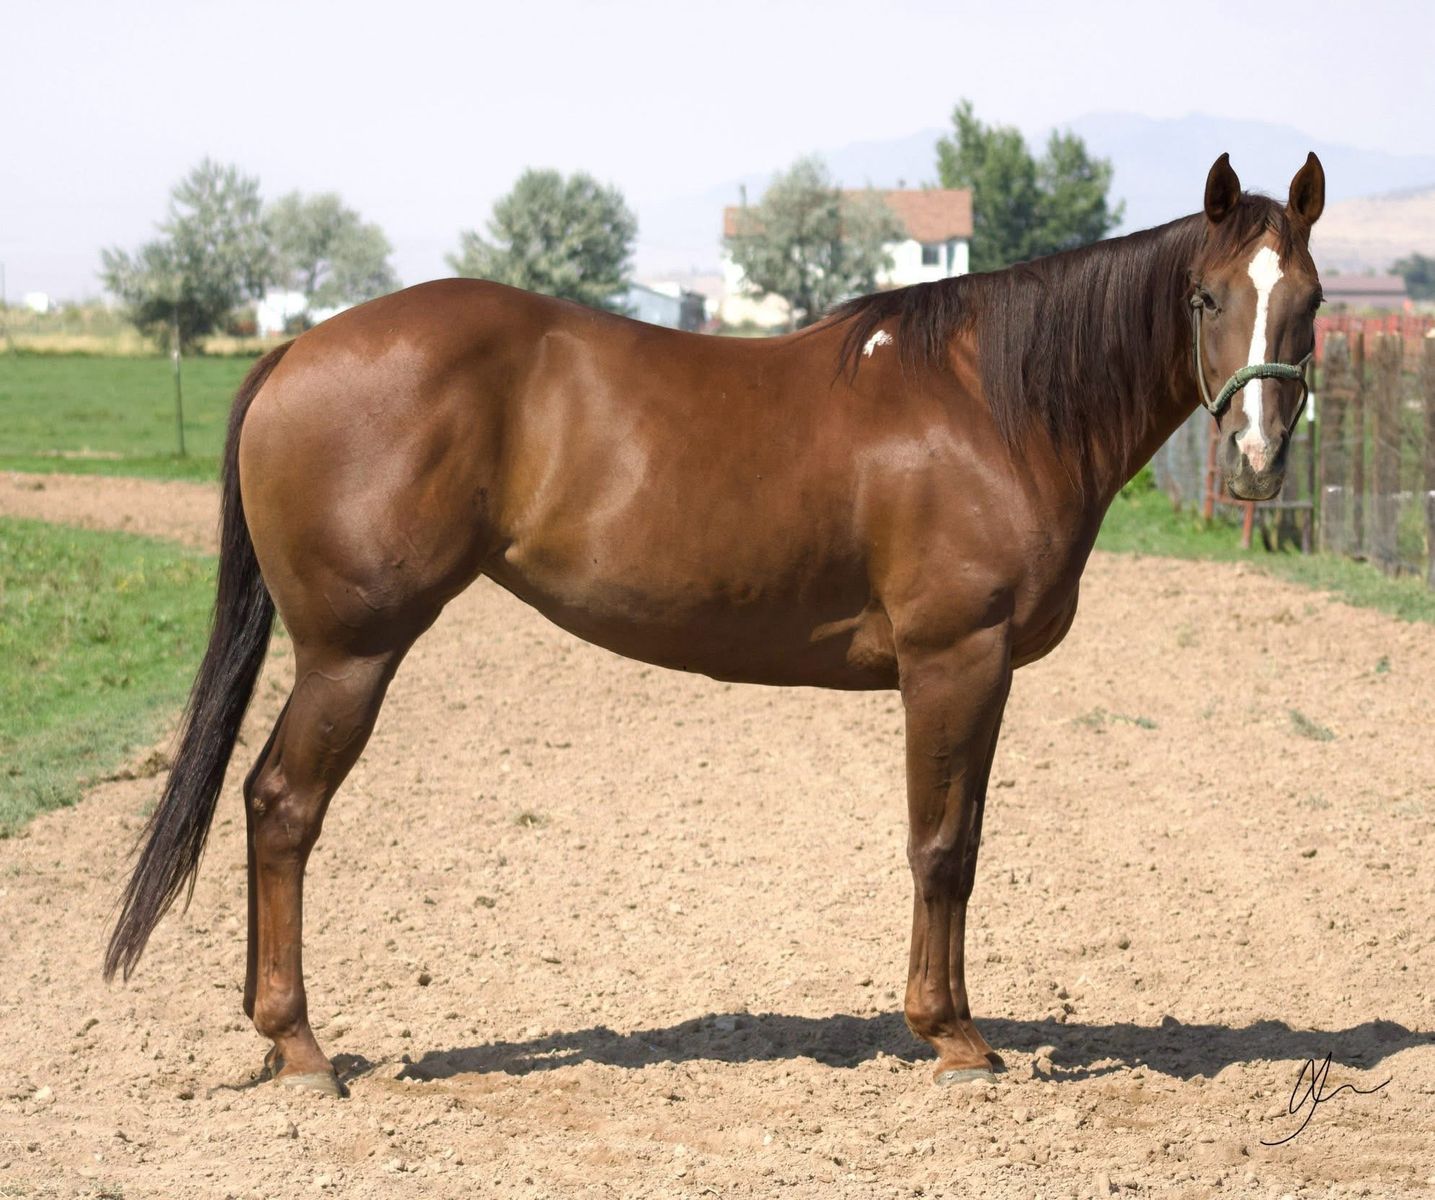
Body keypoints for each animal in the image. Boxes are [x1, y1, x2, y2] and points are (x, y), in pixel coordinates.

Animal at [105, 152, 1325, 1095]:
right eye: (1205, 298)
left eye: (1308, 302)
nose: (1258, 461)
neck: (990, 403)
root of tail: (297, 352)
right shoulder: (954, 660)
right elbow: (941, 848)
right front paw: (953, 1039)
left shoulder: (979, 673)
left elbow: (962, 843)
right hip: (352, 653)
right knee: (282, 808)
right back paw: (304, 1048)